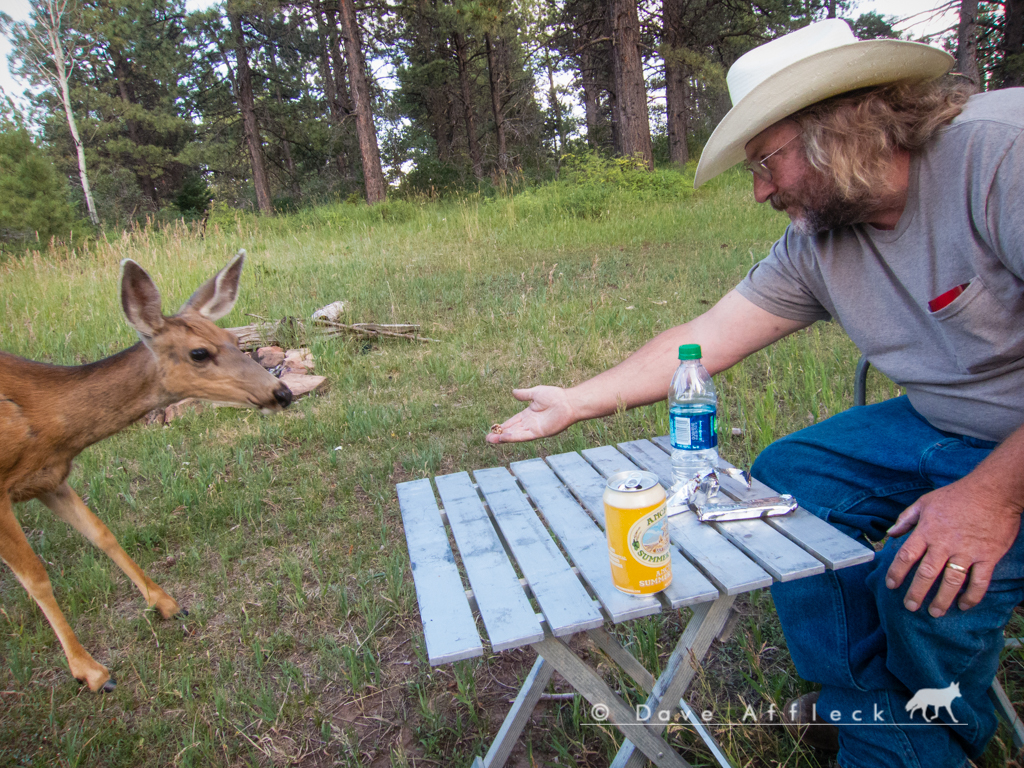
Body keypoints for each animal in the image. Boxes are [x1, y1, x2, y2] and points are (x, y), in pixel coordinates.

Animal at [0, 250, 290, 692]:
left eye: (233, 338)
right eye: (199, 353)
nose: (283, 392)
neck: (43, 418)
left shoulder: (48, 476)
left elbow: (103, 535)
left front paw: (167, 603)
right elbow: (35, 577)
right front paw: (91, 671)